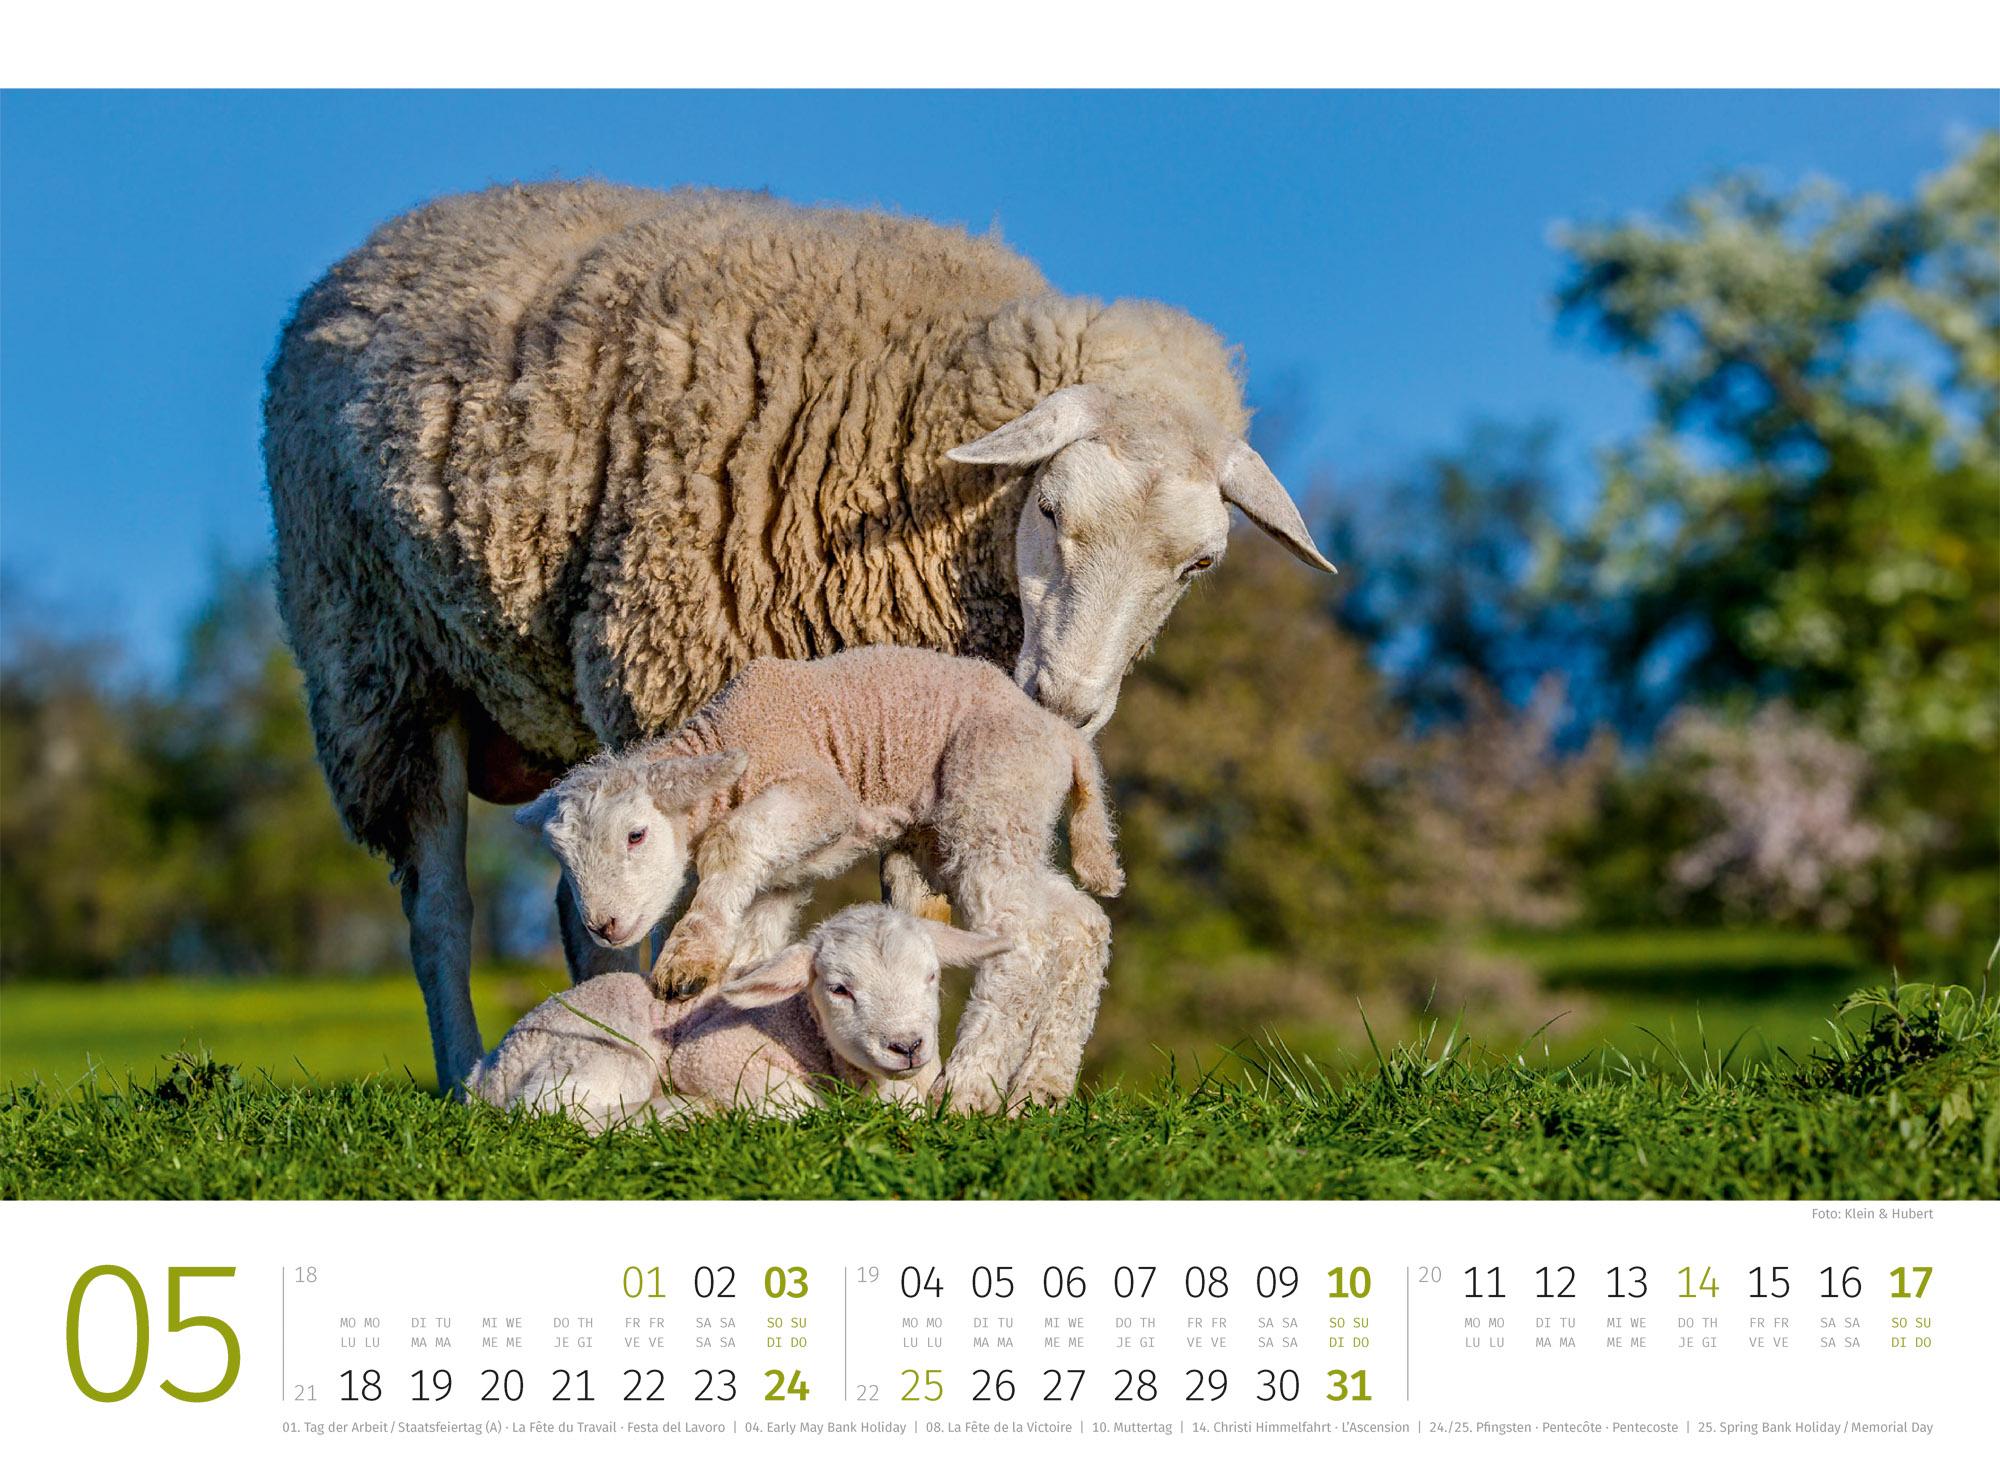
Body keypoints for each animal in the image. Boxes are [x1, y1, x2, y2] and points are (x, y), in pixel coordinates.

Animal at [468, 905, 1007, 1130]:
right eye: (839, 988)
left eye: (931, 976)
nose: (907, 1046)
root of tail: (485, 1073)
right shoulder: (706, 1054)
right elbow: (801, 1105)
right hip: (602, 1052)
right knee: (548, 1109)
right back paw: (676, 1113)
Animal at [517, 644, 1120, 1111]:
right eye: (562, 856)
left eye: (636, 835)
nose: (603, 926)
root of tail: (1063, 737)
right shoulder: (778, 880)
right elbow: (753, 953)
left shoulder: (818, 794)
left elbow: (728, 841)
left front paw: (686, 960)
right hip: (992, 825)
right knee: (1081, 923)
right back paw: (1041, 1088)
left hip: (993, 797)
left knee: (1026, 941)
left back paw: (970, 1088)